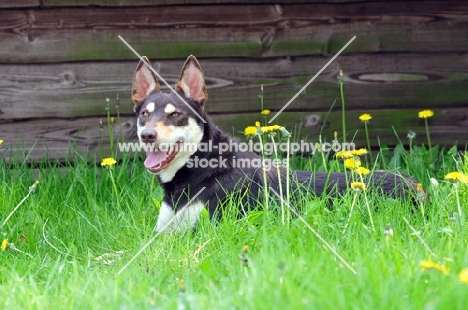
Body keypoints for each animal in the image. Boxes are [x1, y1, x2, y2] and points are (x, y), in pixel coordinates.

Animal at [132, 55, 420, 232]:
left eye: (175, 115)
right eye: (144, 114)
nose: (147, 135)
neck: (200, 170)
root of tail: (417, 187)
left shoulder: (203, 231)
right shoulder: (162, 232)